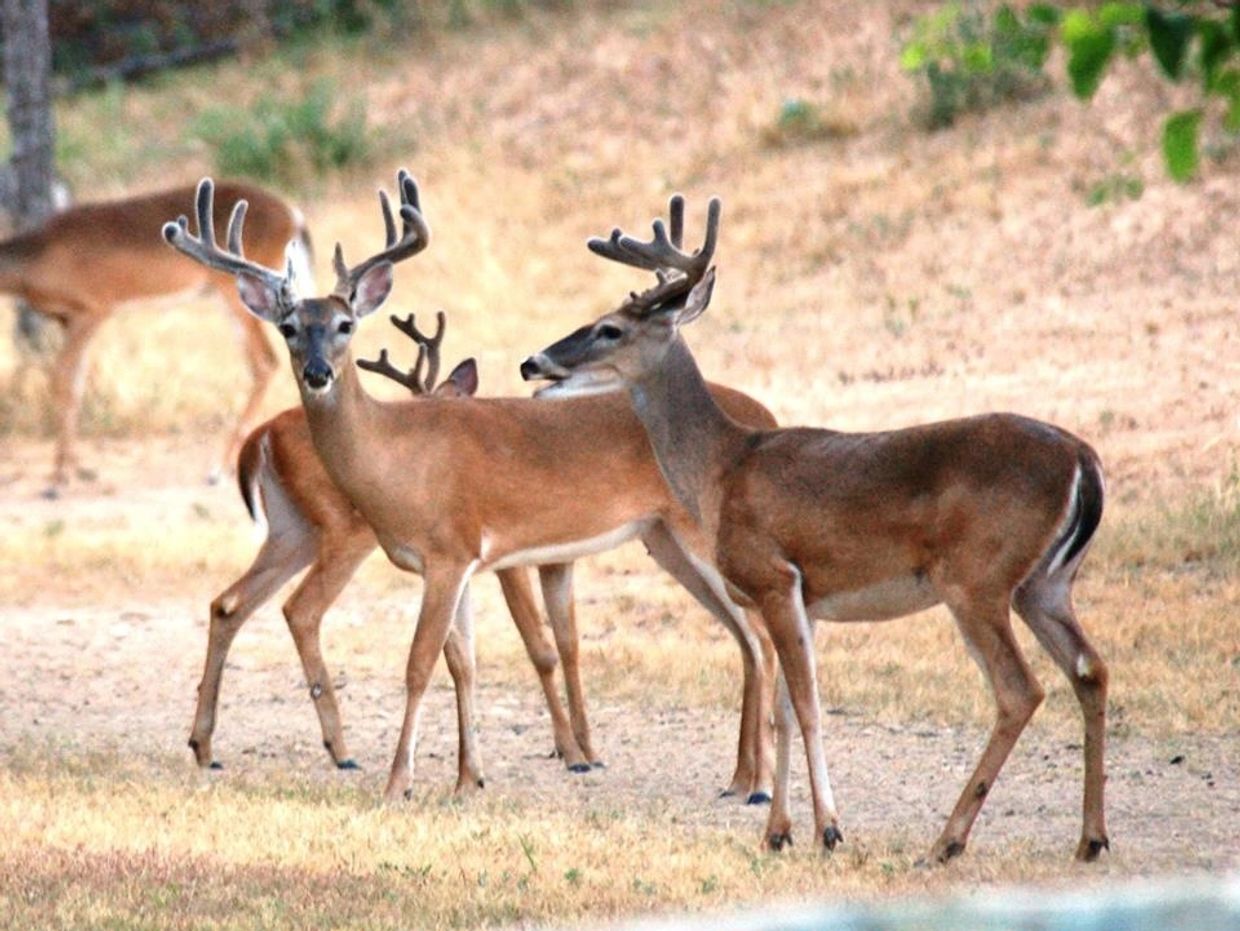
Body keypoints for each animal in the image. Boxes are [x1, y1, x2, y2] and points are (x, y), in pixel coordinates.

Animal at [0, 181, 308, 496]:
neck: (36, 257)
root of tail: (293, 215)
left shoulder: (92, 309)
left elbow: (62, 379)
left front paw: (57, 481)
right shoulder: (67, 319)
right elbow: (75, 382)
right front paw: (79, 470)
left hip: (236, 292)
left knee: (265, 362)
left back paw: (218, 470)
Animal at [163, 171, 780, 805]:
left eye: (345, 325)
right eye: (288, 327)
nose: (317, 373)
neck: (396, 456)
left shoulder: (450, 552)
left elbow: (419, 663)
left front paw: (400, 783)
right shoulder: (456, 564)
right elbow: (464, 662)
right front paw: (467, 779)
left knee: (760, 635)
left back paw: (756, 784)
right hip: (662, 540)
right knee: (748, 636)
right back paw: (741, 779)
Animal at [519, 194, 1110, 864]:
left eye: (609, 328)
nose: (531, 362)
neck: (722, 468)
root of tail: (1084, 461)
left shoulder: (775, 577)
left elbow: (807, 706)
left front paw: (828, 829)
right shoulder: (807, 599)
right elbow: (783, 707)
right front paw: (777, 831)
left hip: (977, 578)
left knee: (1020, 690)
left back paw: (947, 840)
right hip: (1046, 583)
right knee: (1091, 670)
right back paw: (1090, 838)